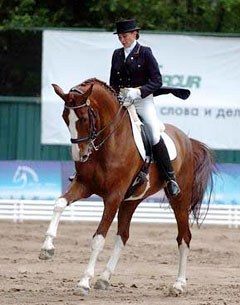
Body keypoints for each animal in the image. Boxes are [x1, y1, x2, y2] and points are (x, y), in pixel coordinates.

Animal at [39, 77, 216, 296]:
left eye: (84, 118)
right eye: (65, 117)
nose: (80, 155)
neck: (108, 142)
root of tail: (187, 140)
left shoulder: (113, 197)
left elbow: (98, 239)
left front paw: (84, 282)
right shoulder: (84, 186)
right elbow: (59, 203)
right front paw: (47, 248)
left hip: (179, 199)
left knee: (184, 237)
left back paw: (178, 284)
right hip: (131, 200)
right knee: (123, 235)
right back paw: (104, 278)